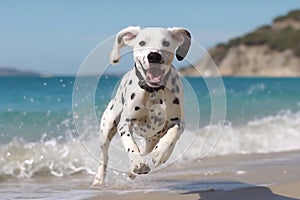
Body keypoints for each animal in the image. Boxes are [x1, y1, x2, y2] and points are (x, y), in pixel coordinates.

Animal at [91, 25, 191, 187]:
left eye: (166, 43)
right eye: (142, 43)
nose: (154, 56)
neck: (153, 91)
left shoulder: (179, 121)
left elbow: (173, 134)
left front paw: (160, 154)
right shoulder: (125, 124)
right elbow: (130, 144)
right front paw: (138, 163)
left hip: (151, 138)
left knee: (148, 147)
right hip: (107, 128)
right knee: (104, 157)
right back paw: (99, 179)